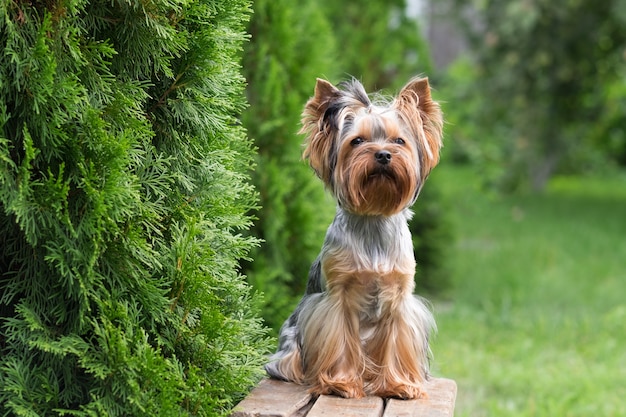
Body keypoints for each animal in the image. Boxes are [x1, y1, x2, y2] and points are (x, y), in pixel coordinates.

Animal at [264, 76, 444, 398]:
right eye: (357, 141)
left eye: (399, 141)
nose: (383, 154)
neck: (373, 216)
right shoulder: (336, 298)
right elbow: (339, 340)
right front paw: (340, 383)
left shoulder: (399, 298)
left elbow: (396, 342)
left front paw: (398, 385)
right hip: (291, 339)